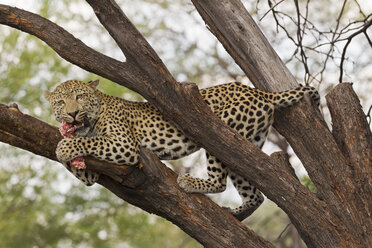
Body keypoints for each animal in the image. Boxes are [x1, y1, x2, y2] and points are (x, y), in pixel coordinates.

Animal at [44, 80, 320, 215]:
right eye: (61, 102)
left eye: (79, 97)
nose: (72, 113)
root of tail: (262, 93)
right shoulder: (93, 172)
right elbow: (85, 171)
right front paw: (67, 151)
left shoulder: (124, 145)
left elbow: (90, 141)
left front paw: (64, 146)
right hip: (247, 143)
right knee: (256, 195)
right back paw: (235, 214)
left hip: (222, 134)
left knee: (220, 182)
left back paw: (190, 182)